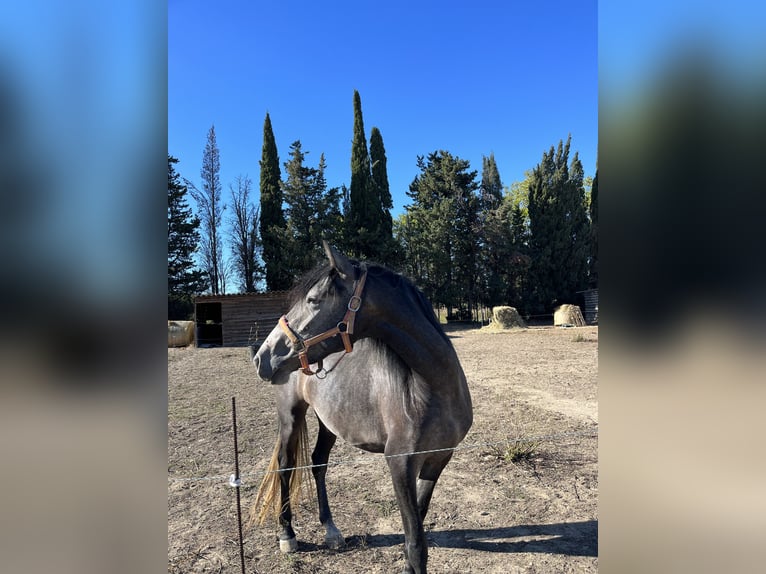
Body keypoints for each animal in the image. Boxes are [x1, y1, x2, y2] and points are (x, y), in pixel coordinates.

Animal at [252, 242, 474, 574]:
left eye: (313, 300)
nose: (263, 357)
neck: (430, 390)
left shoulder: (437, 461)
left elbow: (417, 528)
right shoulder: (400, 464)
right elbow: (416, 545)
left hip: (328, 422)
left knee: (318, 463)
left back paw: (331, 530)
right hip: (290, 416)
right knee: (285, 465)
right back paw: (287, 535)